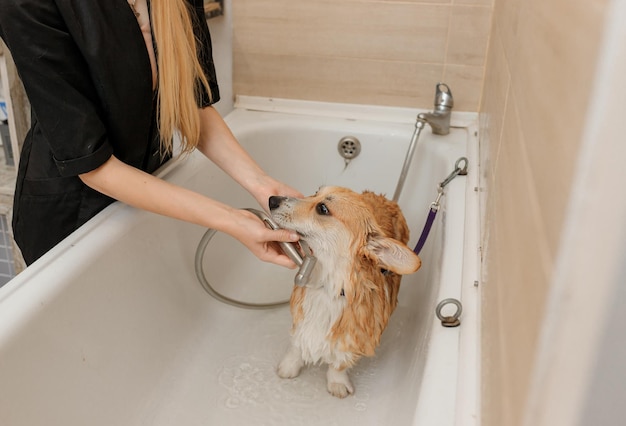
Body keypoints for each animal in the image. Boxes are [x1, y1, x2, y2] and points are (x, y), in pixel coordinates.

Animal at [266, 185, 420, 398]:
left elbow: (339, 364)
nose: (272, 199)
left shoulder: (355, 336)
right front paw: (289, 366)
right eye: (316, 192)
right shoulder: (301, 318)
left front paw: (337, 383)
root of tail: (387, 199)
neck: (328, 287)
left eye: (322, 209)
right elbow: (297, 343)